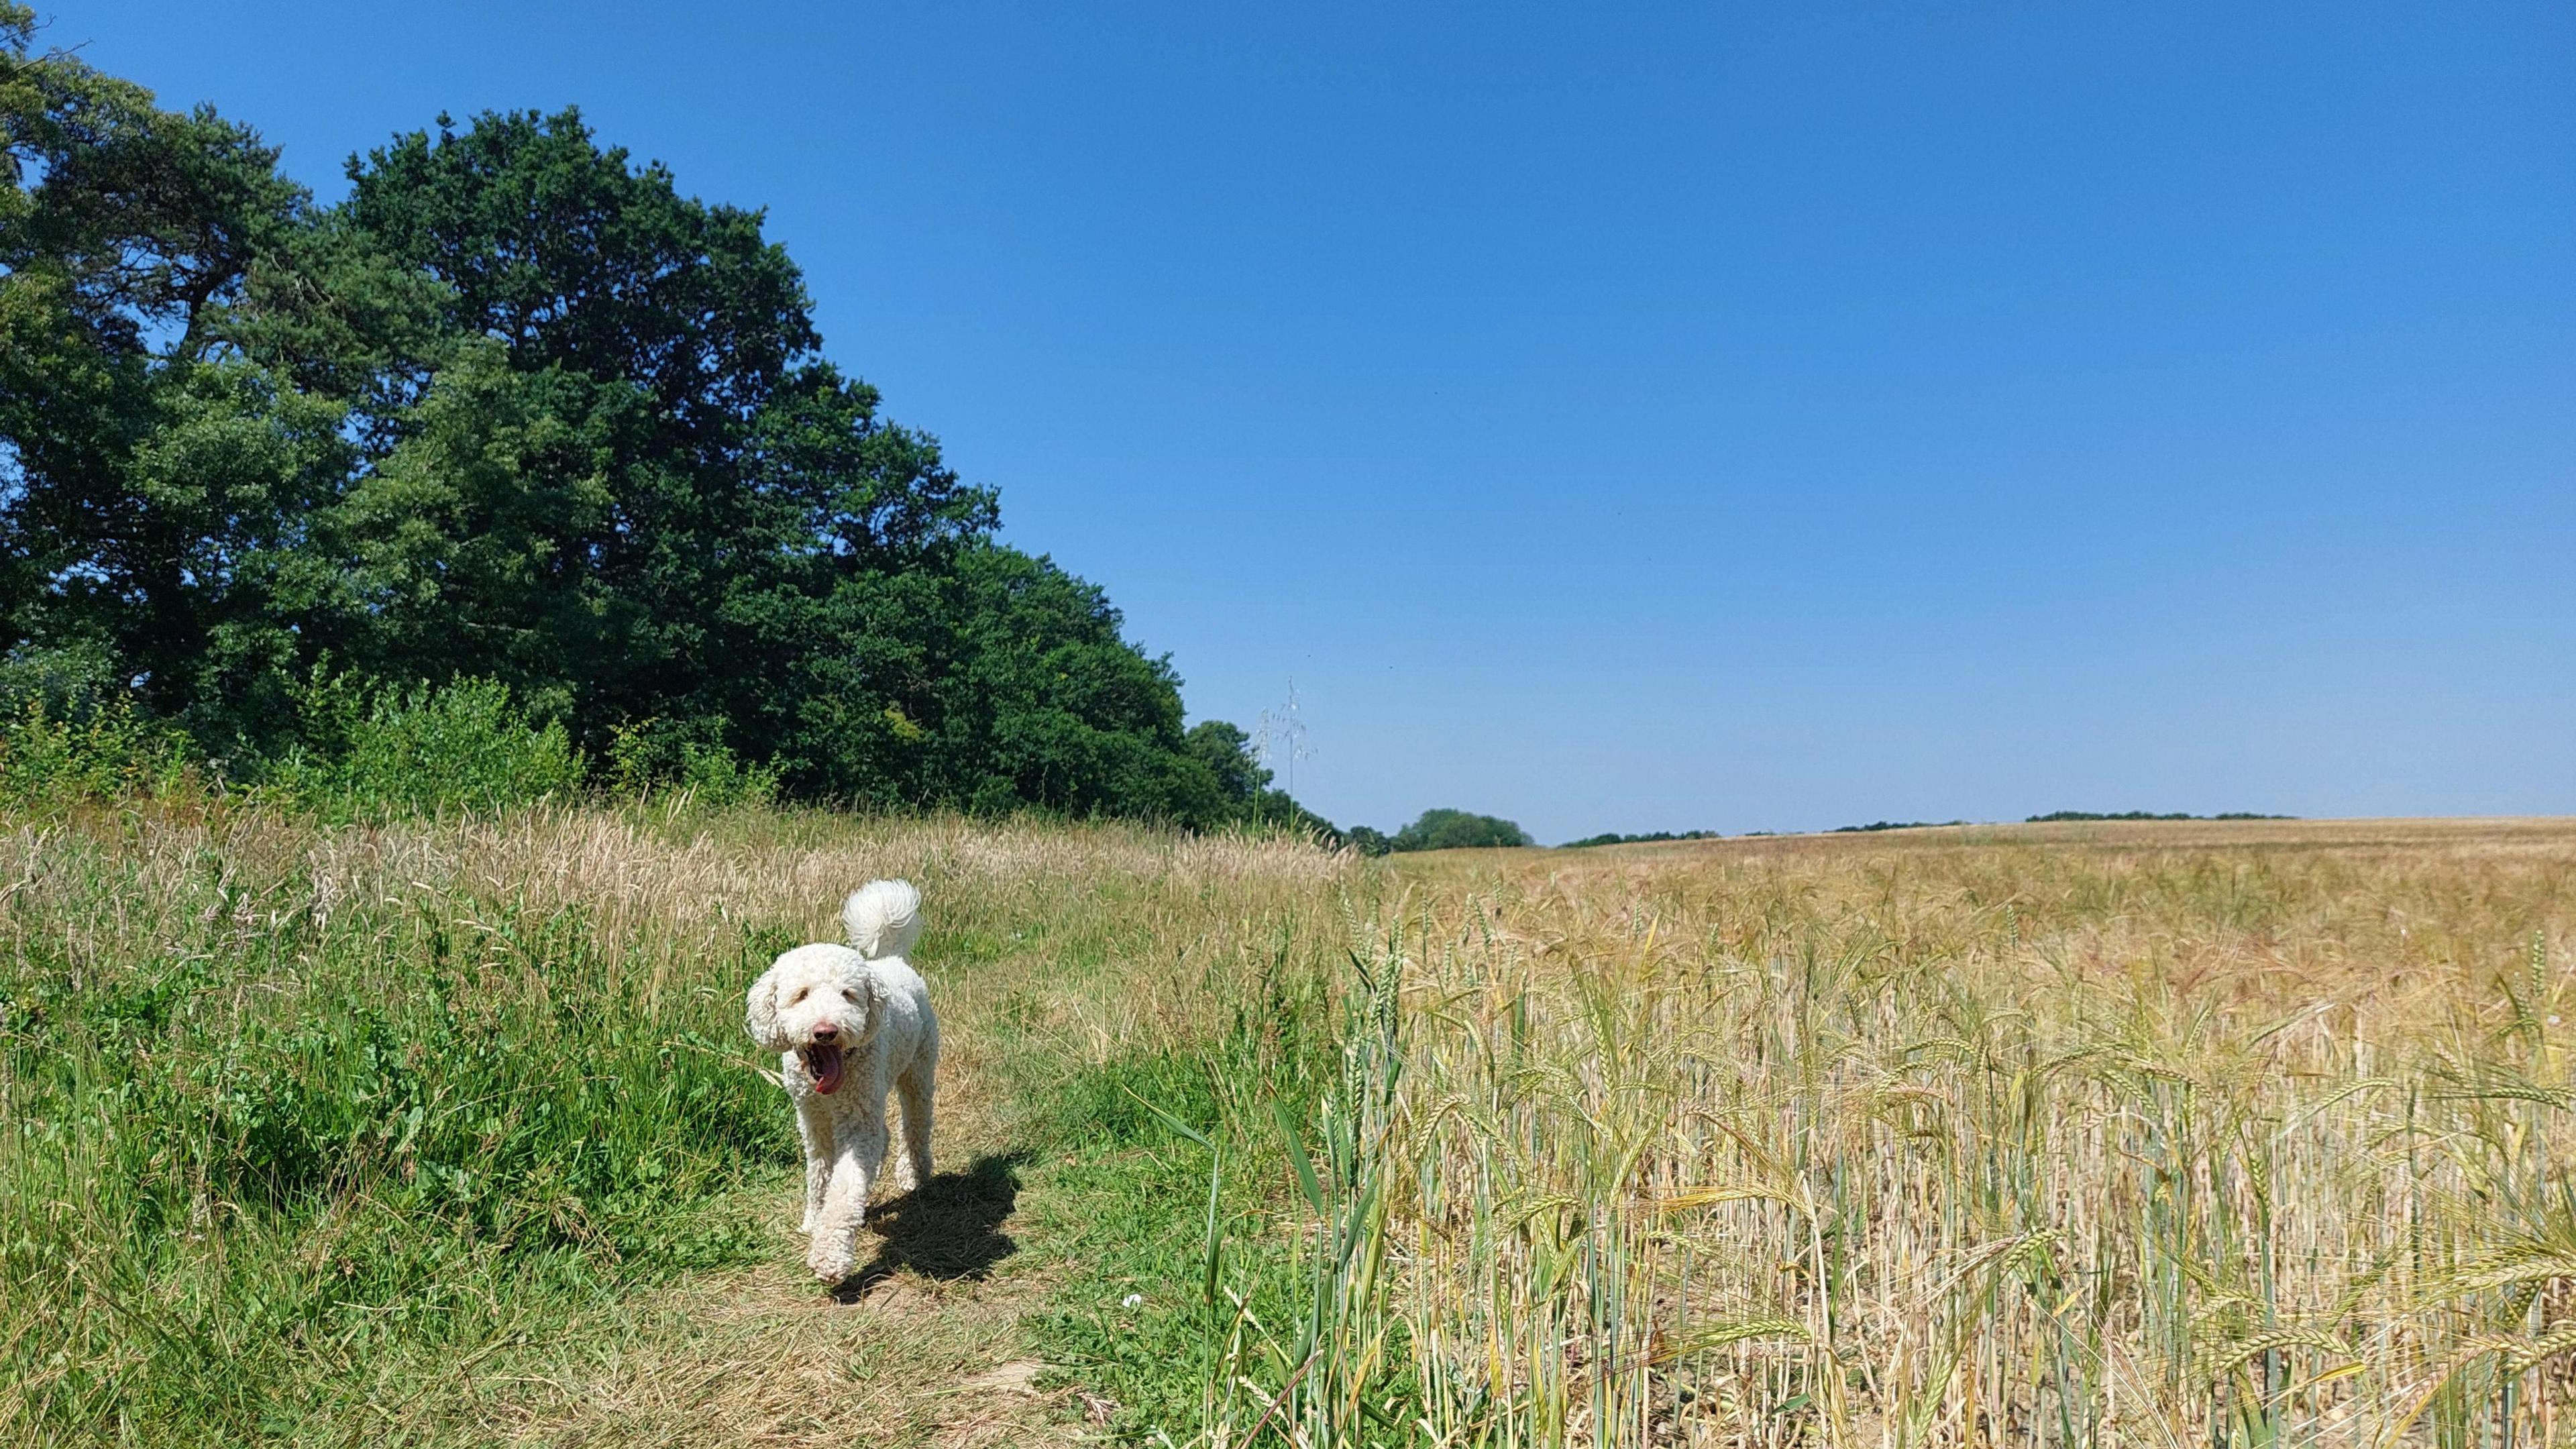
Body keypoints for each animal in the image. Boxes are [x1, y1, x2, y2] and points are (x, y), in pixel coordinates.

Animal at [741, 881, 943, 1273]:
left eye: (848, 994)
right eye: (801, 995)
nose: (826, 1031)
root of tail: (893, 960)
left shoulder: (856, 1122)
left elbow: (845, 1186)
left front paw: (829, 1254)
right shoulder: (813, 1119)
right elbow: (820, 1173)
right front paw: (814, 1219)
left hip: (917, 1073)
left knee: (915, 1126)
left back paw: (913, 1173)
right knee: (885, 1135)